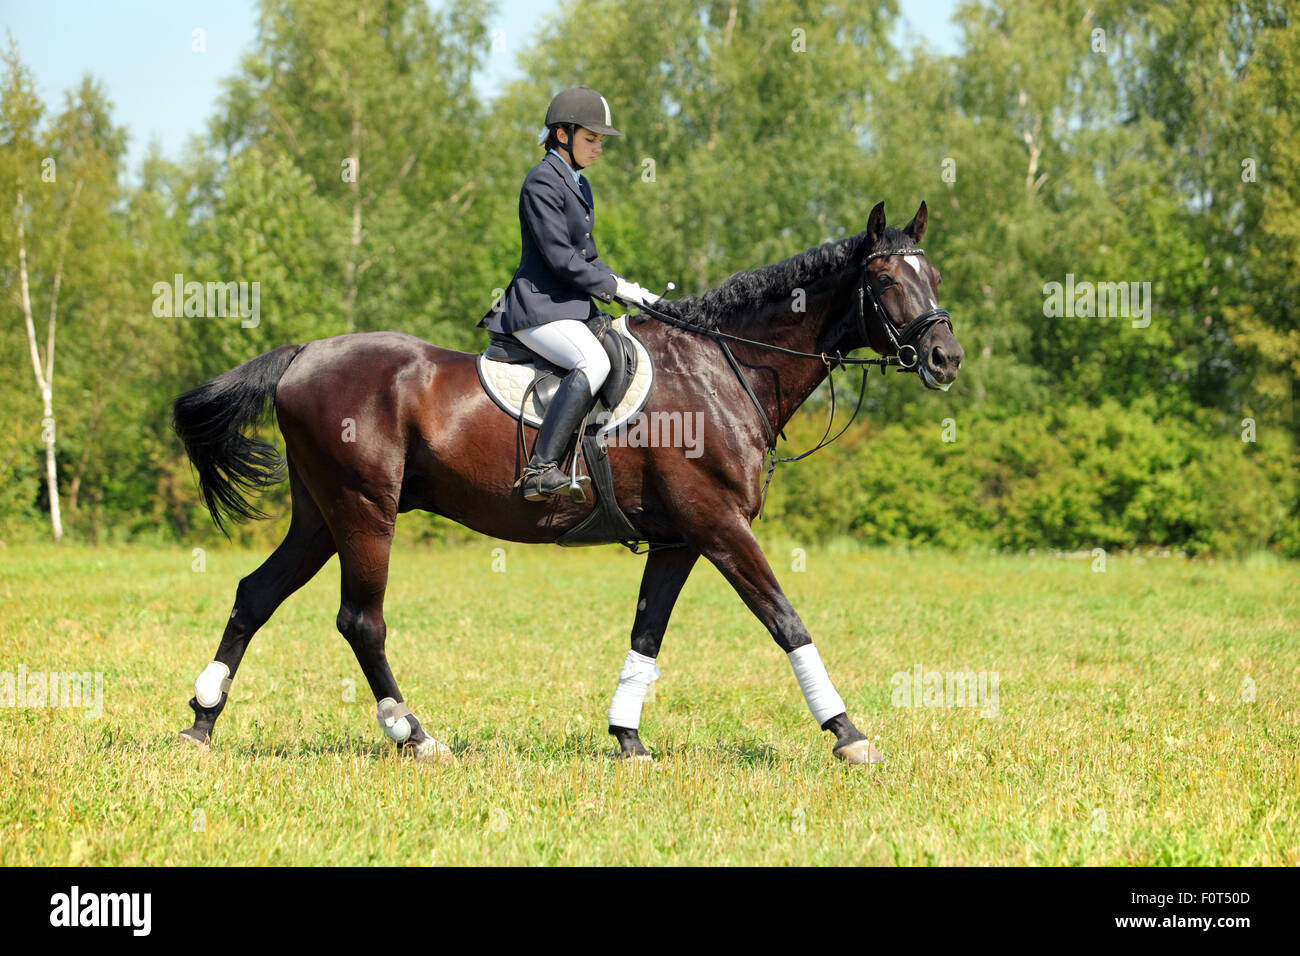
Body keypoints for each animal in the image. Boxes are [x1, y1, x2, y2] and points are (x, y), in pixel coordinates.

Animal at [172, 200, 961, 764]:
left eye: (935, 278)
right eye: (886, 280)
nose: (945, 358)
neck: (724, 367)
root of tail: (304, 353)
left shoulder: (679, 540)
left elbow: (647, 634)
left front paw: (628, 738)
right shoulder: (718, 525)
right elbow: (785, 620)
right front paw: (848, 733)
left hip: (322, 516)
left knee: (256, 595)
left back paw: (202, 722)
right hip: (365, 511)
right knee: (361, 621)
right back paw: (416, 737)